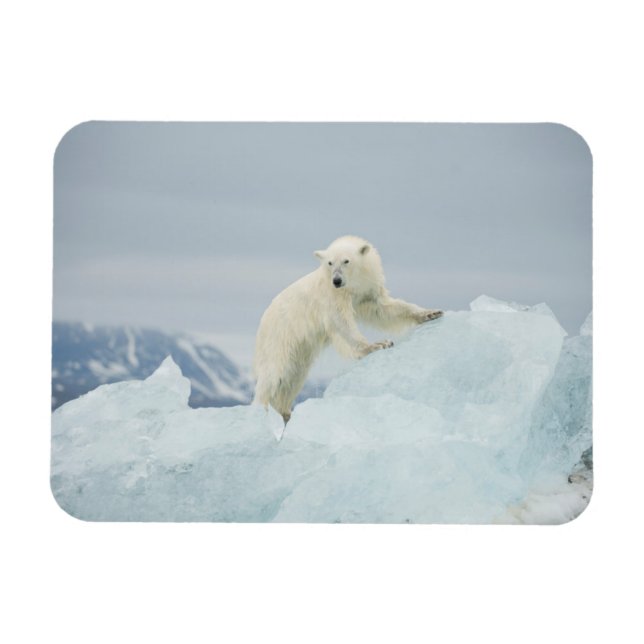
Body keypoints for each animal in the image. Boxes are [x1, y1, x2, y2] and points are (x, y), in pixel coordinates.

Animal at [252, 235, 443, 424]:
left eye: (346, 261)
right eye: (330, 262)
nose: (336, 280)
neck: (353, 283)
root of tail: (262, 322)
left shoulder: (368, 289)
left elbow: (384, 309)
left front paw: (430, 313)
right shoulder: (333, 295)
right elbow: (341, 321)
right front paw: (378, 344)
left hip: (300, 349)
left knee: (293, 376)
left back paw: (284, 413)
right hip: (280, 337)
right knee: (274, 375)